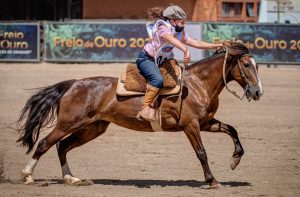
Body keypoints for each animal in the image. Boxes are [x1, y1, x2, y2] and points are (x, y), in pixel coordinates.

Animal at [17, 41, 264, 188]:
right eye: (246, 65)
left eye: (257, 65)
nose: (257, 92)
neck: (197, 84)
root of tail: (73, 84)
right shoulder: (191, 125)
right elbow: (201, 152)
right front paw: (212, 180)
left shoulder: (206, 122)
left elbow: (232, 130)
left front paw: (235, 160)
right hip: (68, 123)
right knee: (45, 143)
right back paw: (27, 175)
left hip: (92, 128)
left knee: (62, 146)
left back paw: (71, 178)